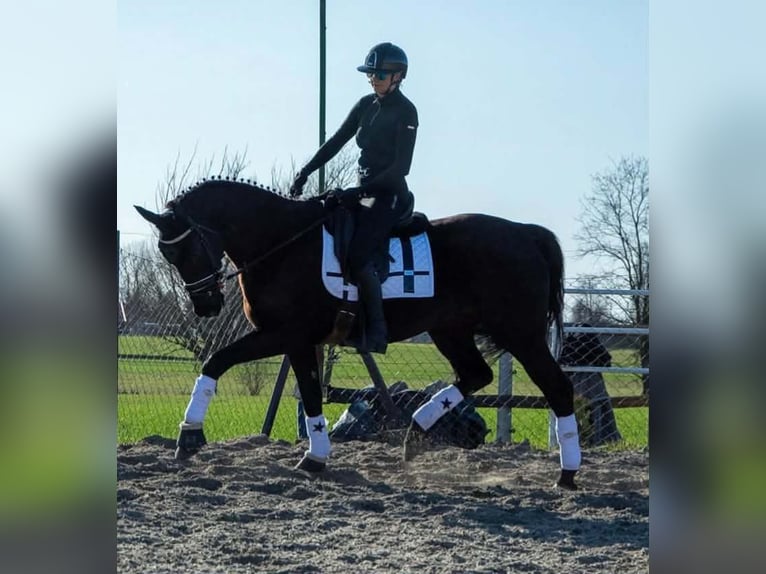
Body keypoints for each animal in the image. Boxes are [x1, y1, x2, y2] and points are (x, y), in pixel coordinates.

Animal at [135, 177, 582, 490]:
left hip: (521, 334)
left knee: (557, 389)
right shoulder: (299, 342)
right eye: (167, 254)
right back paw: (416, 433)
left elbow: (217, 361)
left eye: (182, 250)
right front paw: (316, 458)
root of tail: (525, 232)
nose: (206, 306)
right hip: (450, 330)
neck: (282, 243)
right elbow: (310, 394)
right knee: (475, 375)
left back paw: (567, 473)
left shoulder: (283, 334)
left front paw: (189, 436)